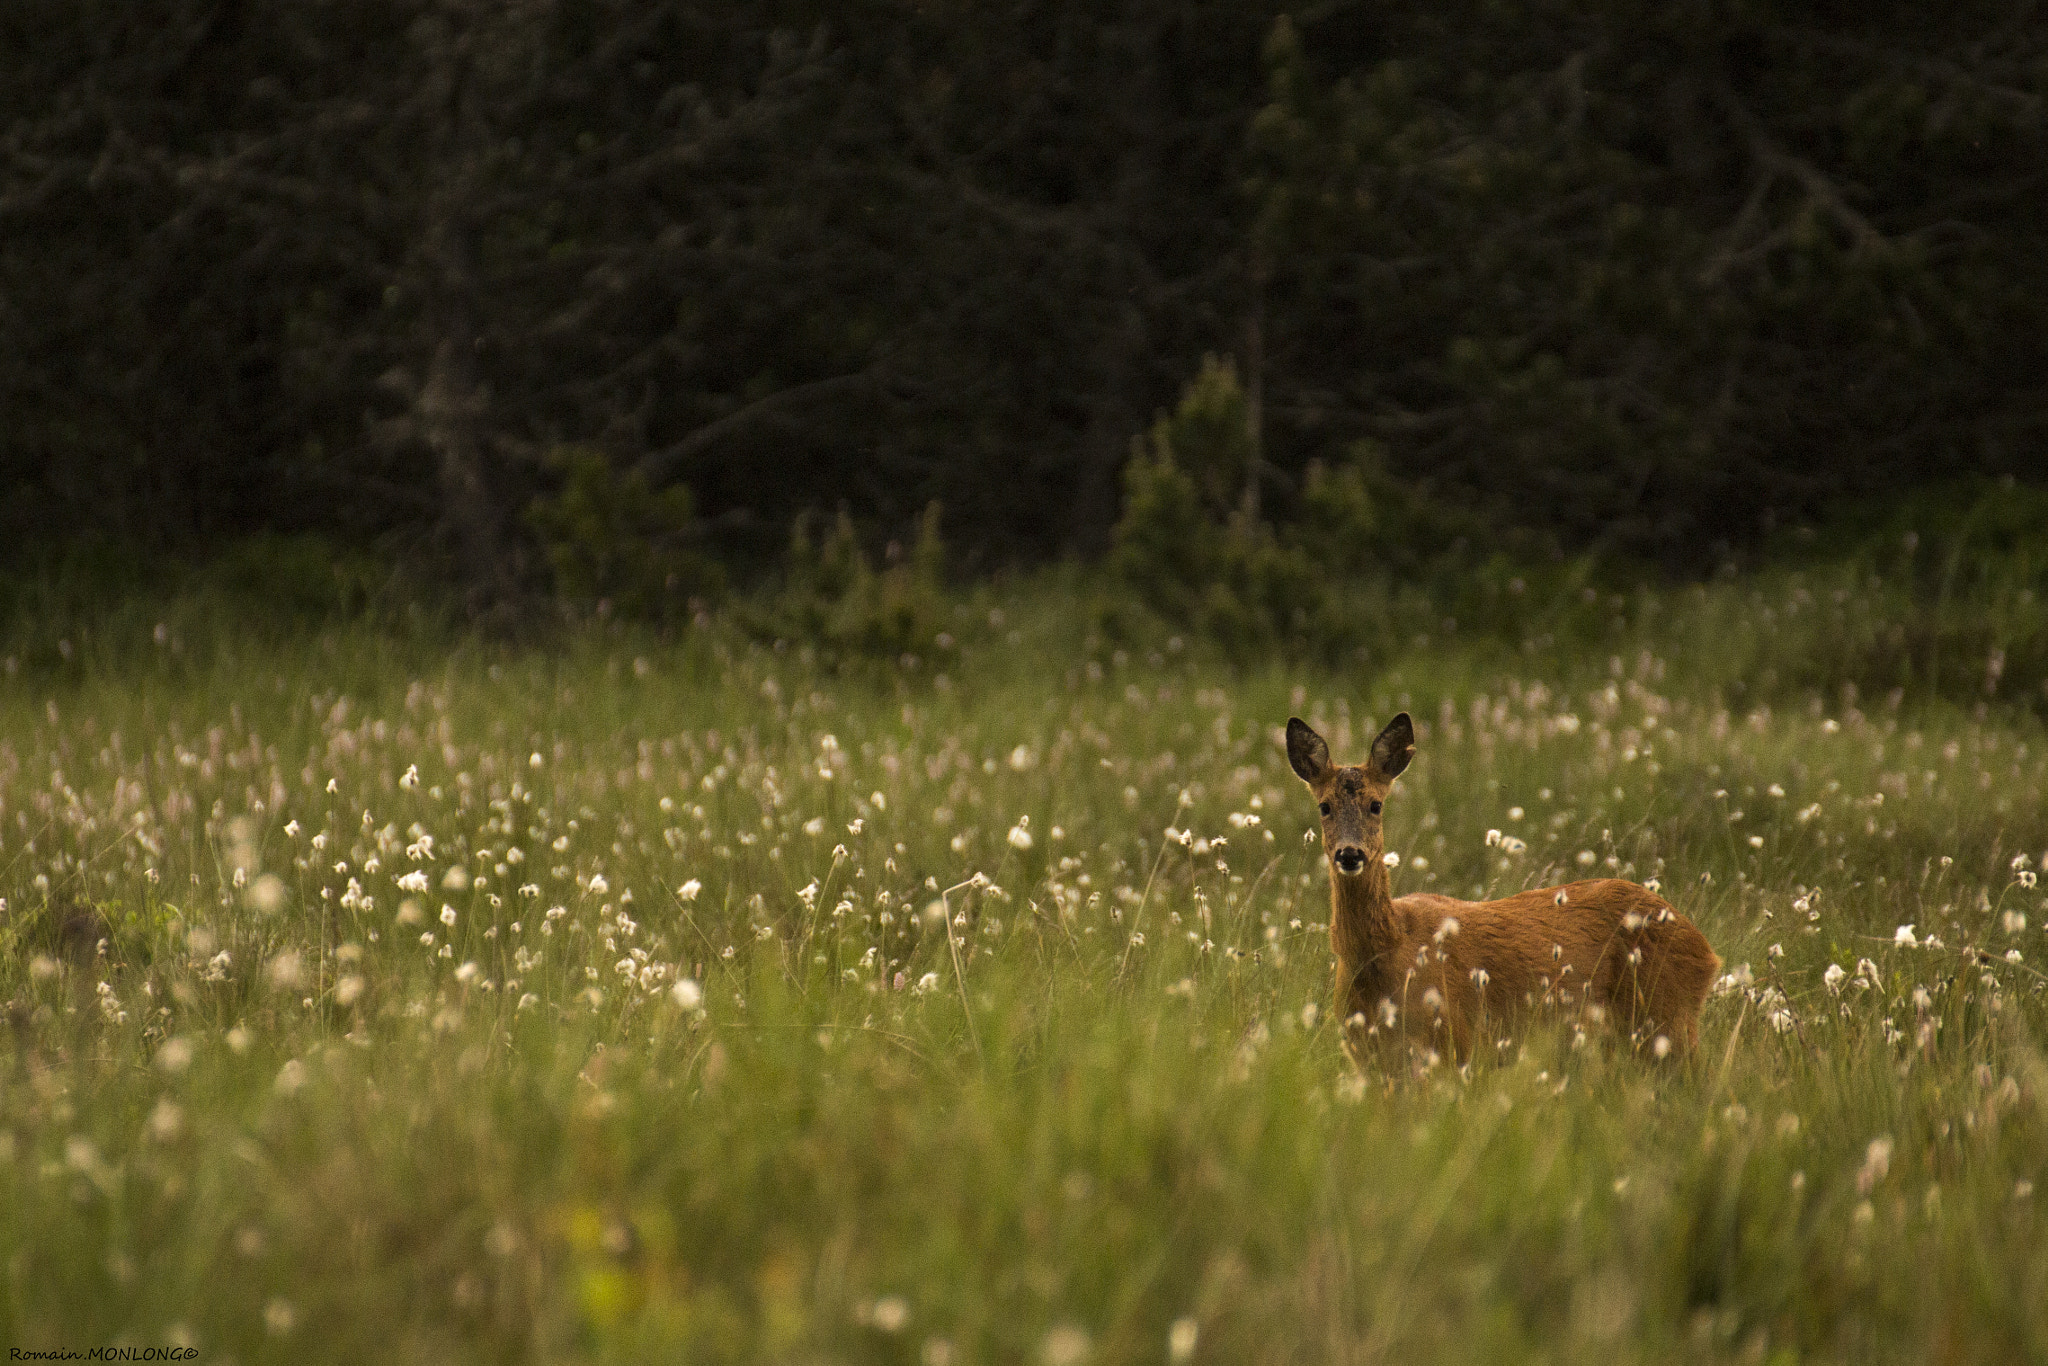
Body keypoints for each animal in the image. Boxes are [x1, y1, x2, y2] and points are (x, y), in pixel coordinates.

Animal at [1286, 712, 1720, 1073]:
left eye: (1376, 805)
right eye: (1324, 806)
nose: (1350, 854)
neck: (1386, 952)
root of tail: (1706, 949)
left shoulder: (1454, 1041)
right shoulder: (1369, 1060)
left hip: (1668, 1016)